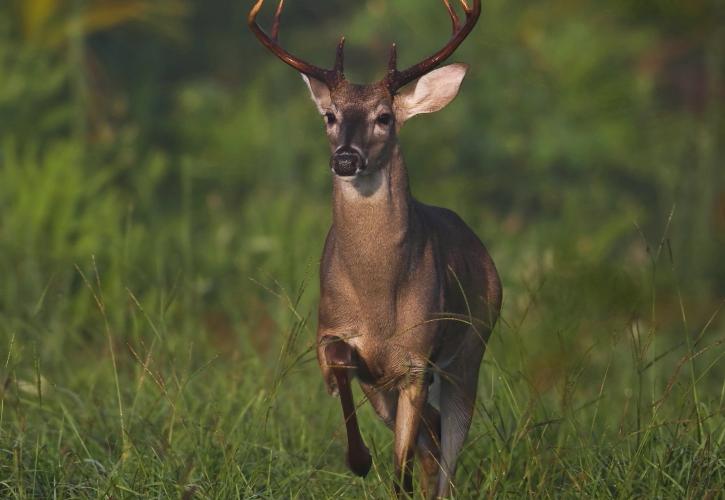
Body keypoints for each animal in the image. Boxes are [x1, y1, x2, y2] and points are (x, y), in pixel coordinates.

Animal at [247, 1, 498, 498]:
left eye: (384, 117)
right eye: (329, 116)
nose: (346, 158)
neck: (379, 300)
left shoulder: (418, 361)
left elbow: (403, 466)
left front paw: (373, 465)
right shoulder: (330, 332)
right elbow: (342, 361)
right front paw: (359, 459)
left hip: (472, 349)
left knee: (447, 450)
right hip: (389, 388)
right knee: (432, 436)